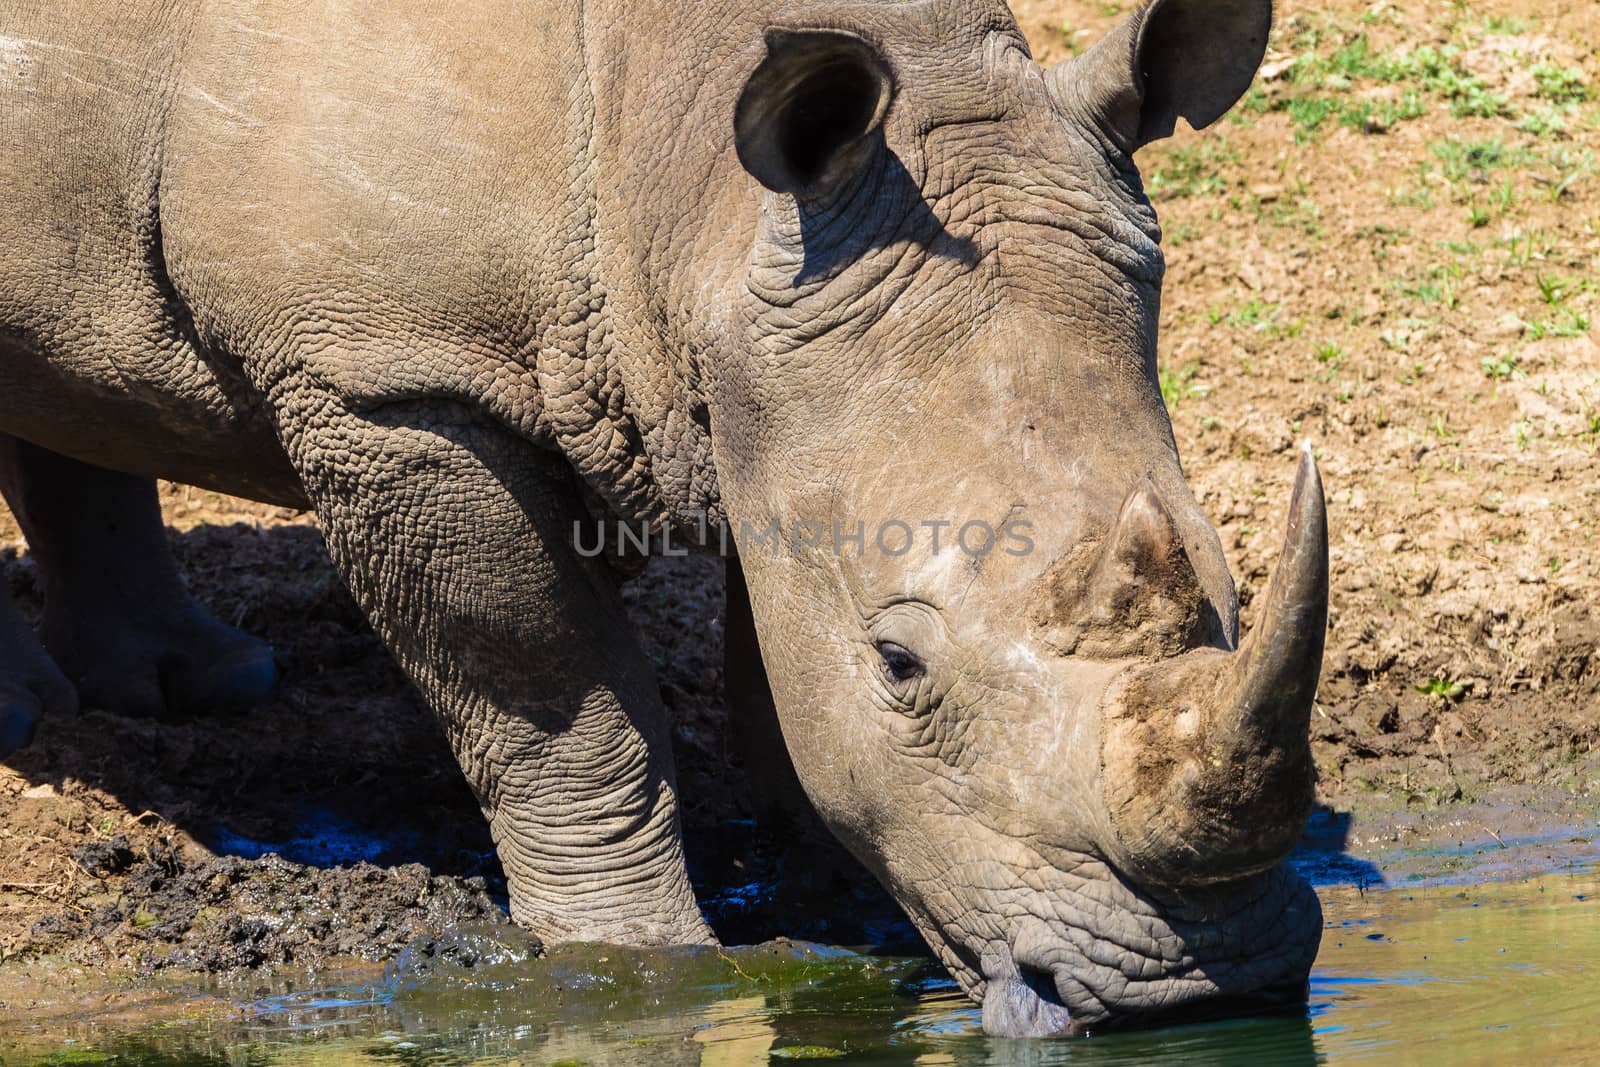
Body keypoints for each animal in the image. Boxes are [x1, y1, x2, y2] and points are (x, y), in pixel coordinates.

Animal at [0, 0, 1324, 1036]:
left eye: (1227, 586)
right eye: (901, 663)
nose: (1201, 986)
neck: (694, 184)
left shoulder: (756, 363)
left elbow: (771, 660)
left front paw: (828, 887)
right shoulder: (389, 375)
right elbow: (550, 692)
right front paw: (640, 960)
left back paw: (194, 682)